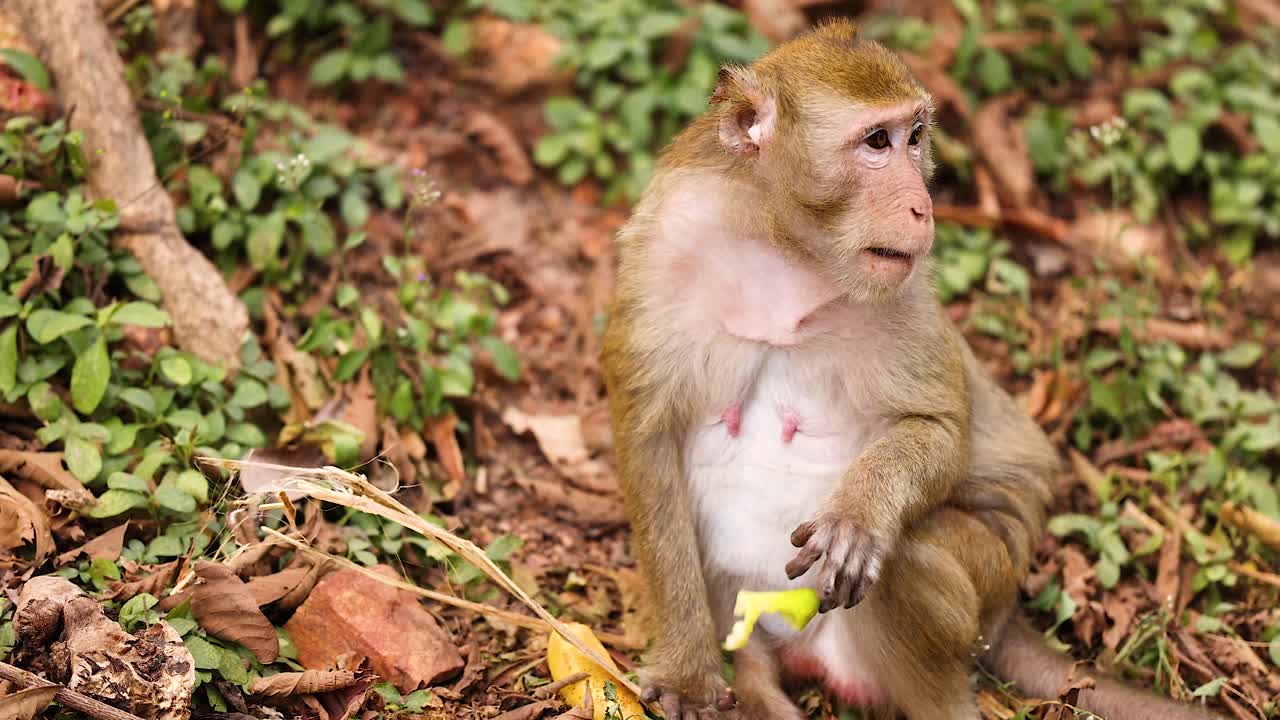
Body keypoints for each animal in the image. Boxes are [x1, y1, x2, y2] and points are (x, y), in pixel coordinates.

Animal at [602, 20, 1227, 720]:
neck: (784, 252)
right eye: (878, 141)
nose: (923, 208)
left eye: (917, 136)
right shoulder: (663, 249)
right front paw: (687, 673)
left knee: (910, 557)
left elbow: (937, 430)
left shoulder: (904, 290)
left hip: (984, 588)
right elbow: (648, 441)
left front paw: (860, 515)